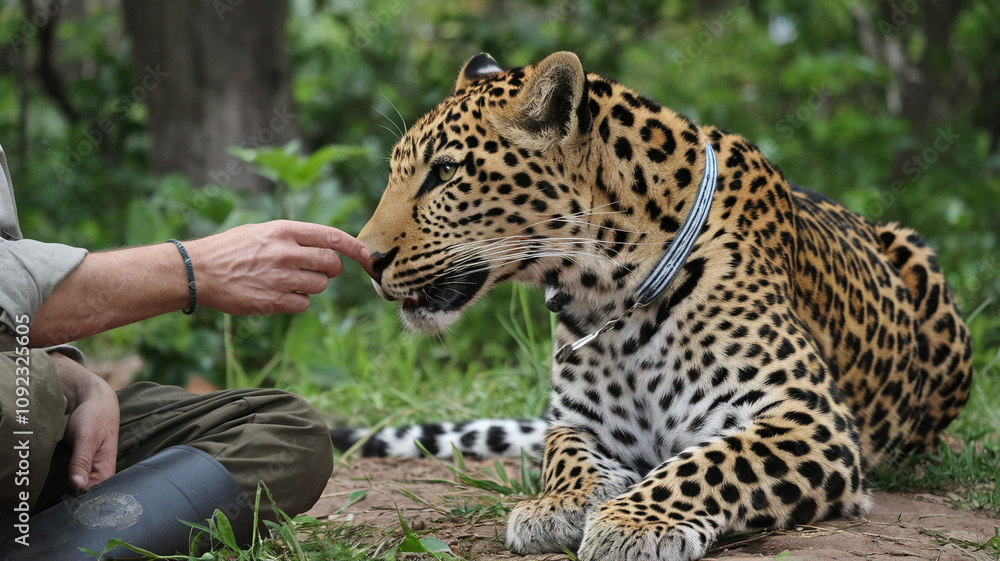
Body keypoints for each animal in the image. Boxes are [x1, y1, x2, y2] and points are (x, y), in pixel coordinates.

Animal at [353, 51, 973, 561]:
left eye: (445, 172)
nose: (367, 259)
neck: (607, 290)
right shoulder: (580, 422)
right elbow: (563, 456)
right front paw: (556, 507)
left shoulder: (809, 419)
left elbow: (711, 461)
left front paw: (631, 524)